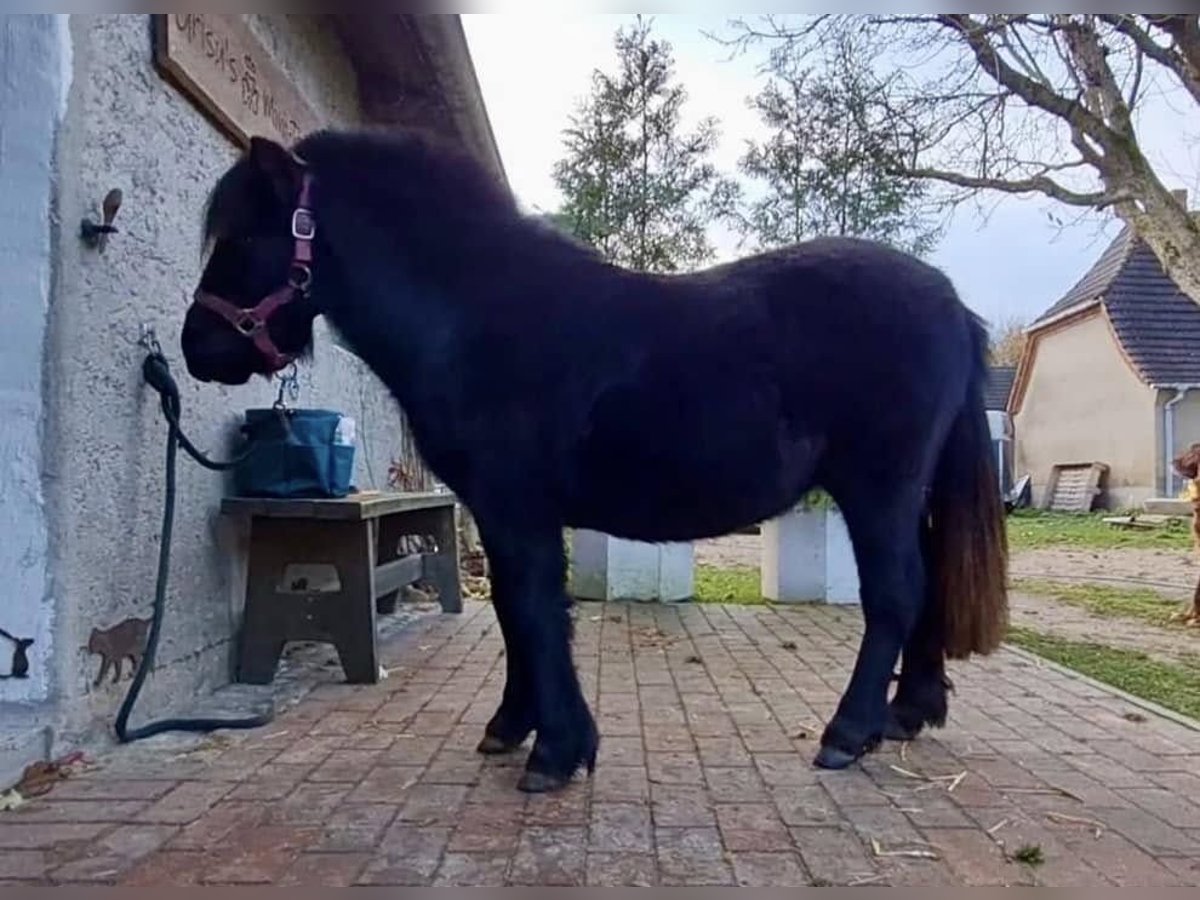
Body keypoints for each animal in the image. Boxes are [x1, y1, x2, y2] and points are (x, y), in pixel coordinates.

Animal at [177, 128, 1008, 796]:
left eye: (242, 239)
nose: (196, 348)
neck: (476, 318)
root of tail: (951, 304)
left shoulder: (516, 506)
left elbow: (536, 611)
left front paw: (557, 751)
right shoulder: (499, 512)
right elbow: (514, 611)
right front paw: (512, 726)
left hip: (878, 487)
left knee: (896, 592)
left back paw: (846, 734)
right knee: (929, 584)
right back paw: (907, 713)